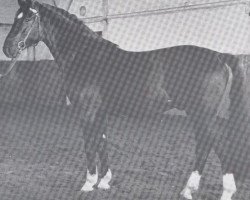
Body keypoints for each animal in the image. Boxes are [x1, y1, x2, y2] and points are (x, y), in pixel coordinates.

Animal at [2, 0, 249, 199]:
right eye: (15, 17)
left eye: (29, 17)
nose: (8, 48)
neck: (83, 55)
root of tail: (219, 56)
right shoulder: (99, 111)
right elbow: (102, 142)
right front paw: (104, 181)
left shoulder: (87, 111)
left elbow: (90, 144)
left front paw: (88, 183)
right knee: (205, 145)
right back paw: (189, 190)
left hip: (203, 113)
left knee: (214, 144)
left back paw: (223, 191)